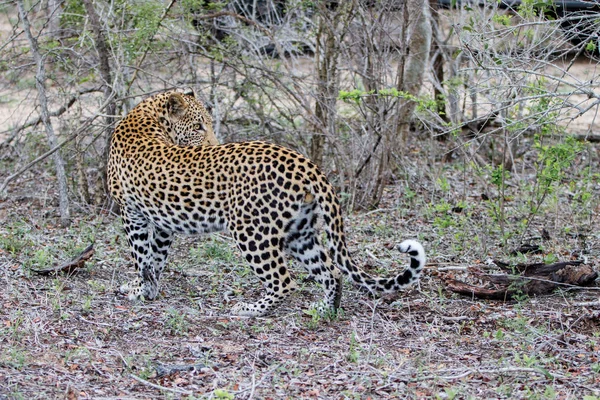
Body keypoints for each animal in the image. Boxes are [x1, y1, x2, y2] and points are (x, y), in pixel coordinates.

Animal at [109, 89, 426, 318]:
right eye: (198, 126)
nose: (213, 143)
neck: (148, 117)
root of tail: (305, 163)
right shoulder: (160, 222)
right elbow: (155, 257)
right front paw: (146, 286)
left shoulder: (131, 213)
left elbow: (141, 255)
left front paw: (141, 289)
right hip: (300, 232)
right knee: (331, 271)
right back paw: (324, 310)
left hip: (251, 231)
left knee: (284, 280)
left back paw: (250, 309)